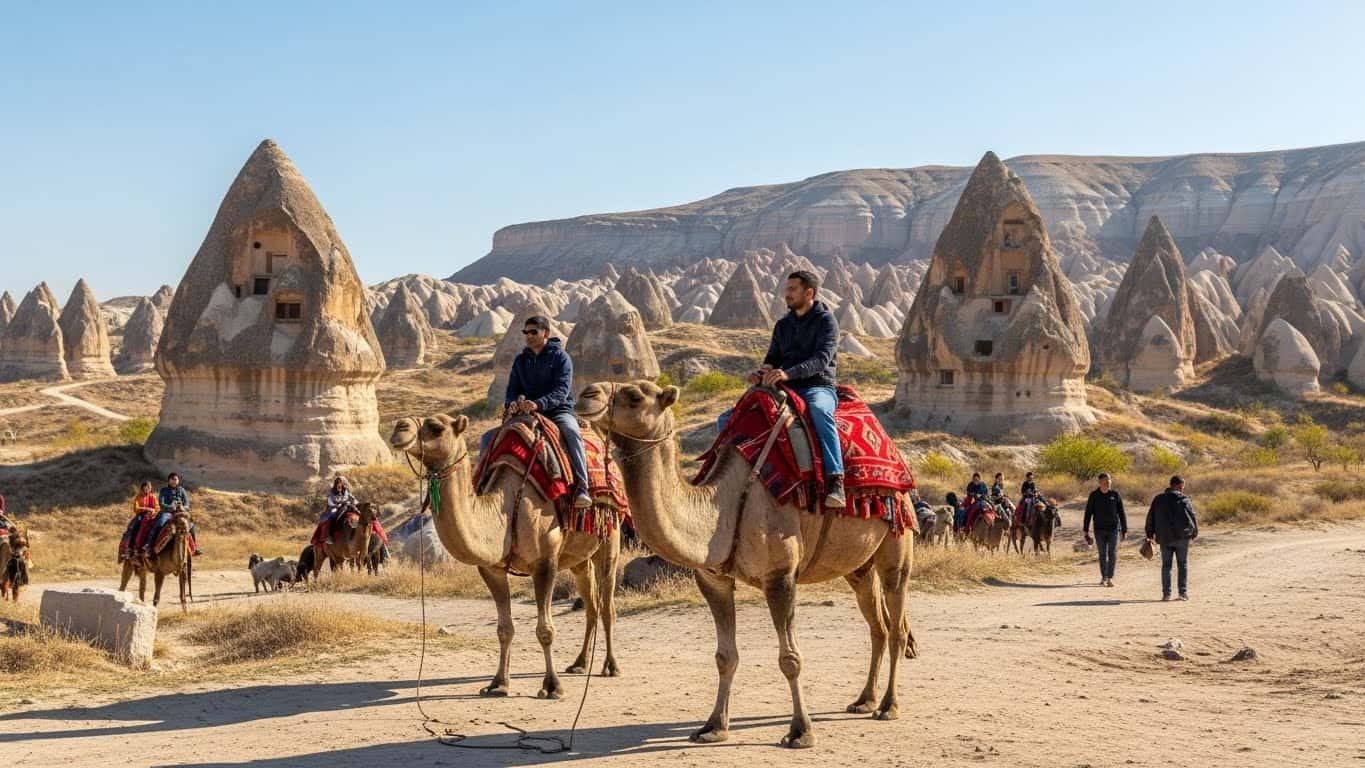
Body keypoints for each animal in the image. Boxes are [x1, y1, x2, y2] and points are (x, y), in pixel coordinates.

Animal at [388, 412, 621, 699]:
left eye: (435, 427)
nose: (400, 428)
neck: (507, 507)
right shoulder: (492, 568)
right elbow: (504, 629)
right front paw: (498, 683)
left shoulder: (545, 562)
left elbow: (545, 630)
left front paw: (552, 686)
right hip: (579, 555)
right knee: (591, 604)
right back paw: (579, 663)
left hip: (610, 536)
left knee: (607, 604)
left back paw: (610, 666)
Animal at [575, 381, 915, 749]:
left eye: (635, 397)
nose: (587, 394)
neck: (724, 505)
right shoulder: (714, 580)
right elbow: (725, 657)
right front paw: (713, 726)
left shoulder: (780, 576)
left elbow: (790, 659)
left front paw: (801, 731)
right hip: (858, 566)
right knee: (878, 625)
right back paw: (864, 699)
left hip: (897, 541)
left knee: (896, 623)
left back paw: (888, 706)